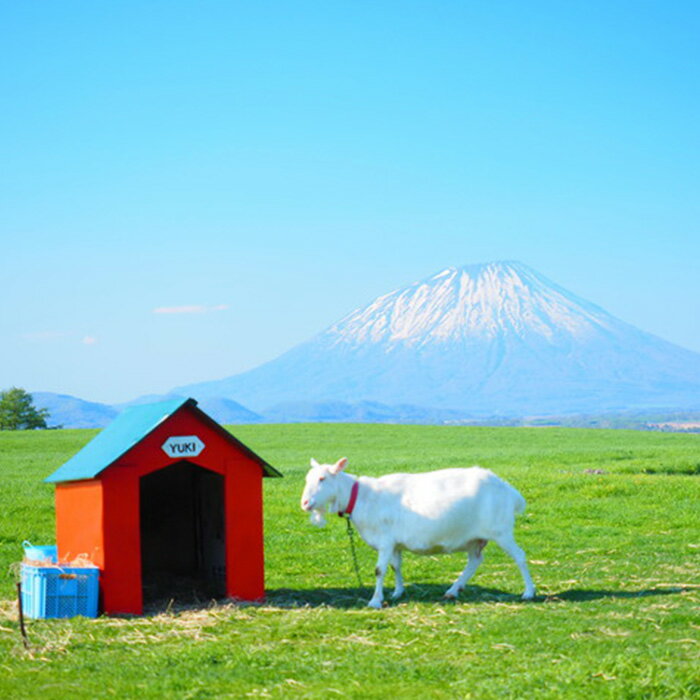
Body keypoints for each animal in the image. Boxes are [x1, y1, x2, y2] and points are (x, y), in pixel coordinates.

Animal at [300, 460, 536, 608]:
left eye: (322, 479)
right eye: (308, 479)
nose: (305, 503)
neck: (362, 497)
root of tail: (508, 489)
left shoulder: (385, 541)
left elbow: (379, 570)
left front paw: (375, 601)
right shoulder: (394, 543)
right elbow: (396, 566)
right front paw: (397, 592)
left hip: (501, 530)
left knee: (520, 556)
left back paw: (529, 592)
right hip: (473, 538)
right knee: (474, 560)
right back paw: (453, 589)